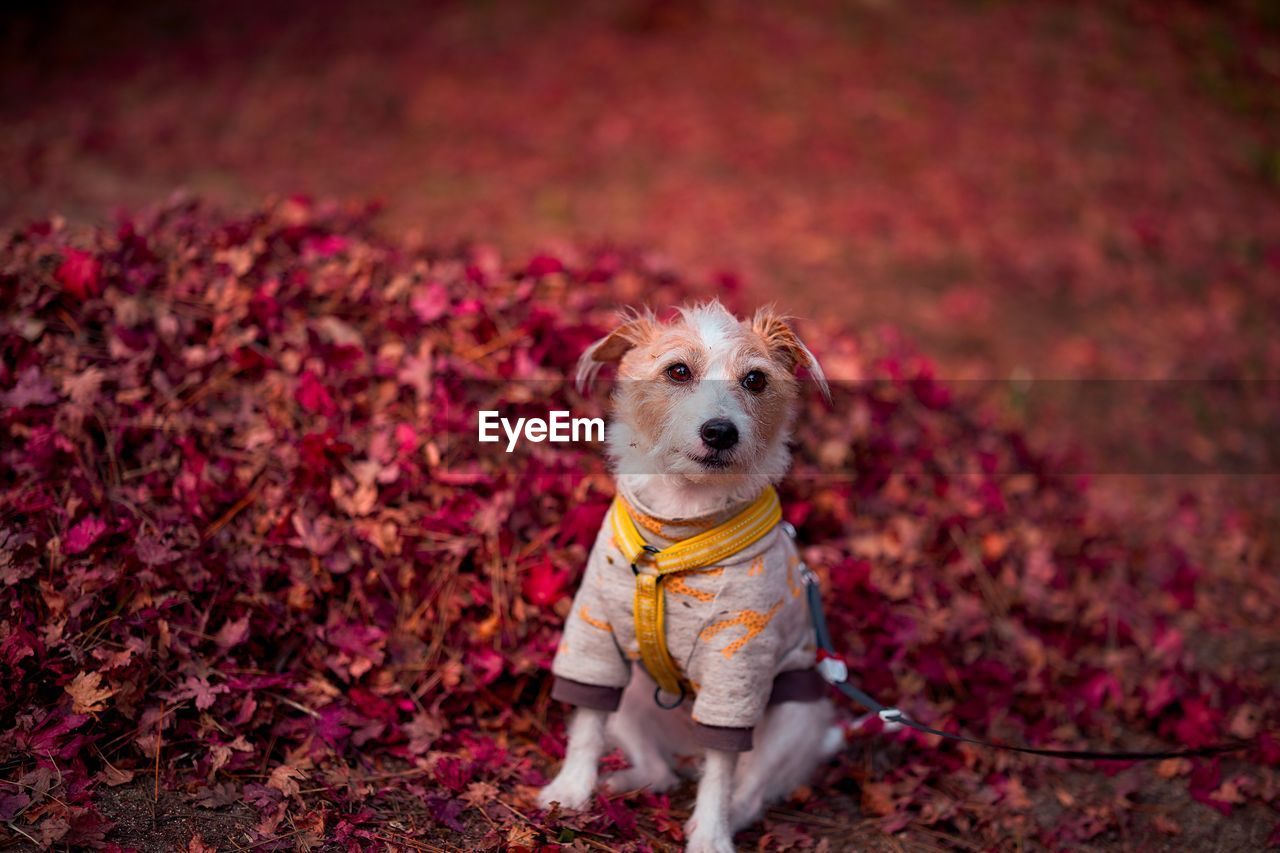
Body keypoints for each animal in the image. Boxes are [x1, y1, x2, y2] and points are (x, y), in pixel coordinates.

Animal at [537, 300, 844, 850]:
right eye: (678, 371)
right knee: (660, 772)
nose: (720, 431)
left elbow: (722, 769)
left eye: (755, 380)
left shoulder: (734, 669)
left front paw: (711, 835)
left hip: (792, 717)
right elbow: (588, 721)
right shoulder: (596, 635)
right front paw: (570, 790)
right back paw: (620, 784)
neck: (678, 532)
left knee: (744, 790)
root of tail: (685, 749)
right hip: (635, 696)